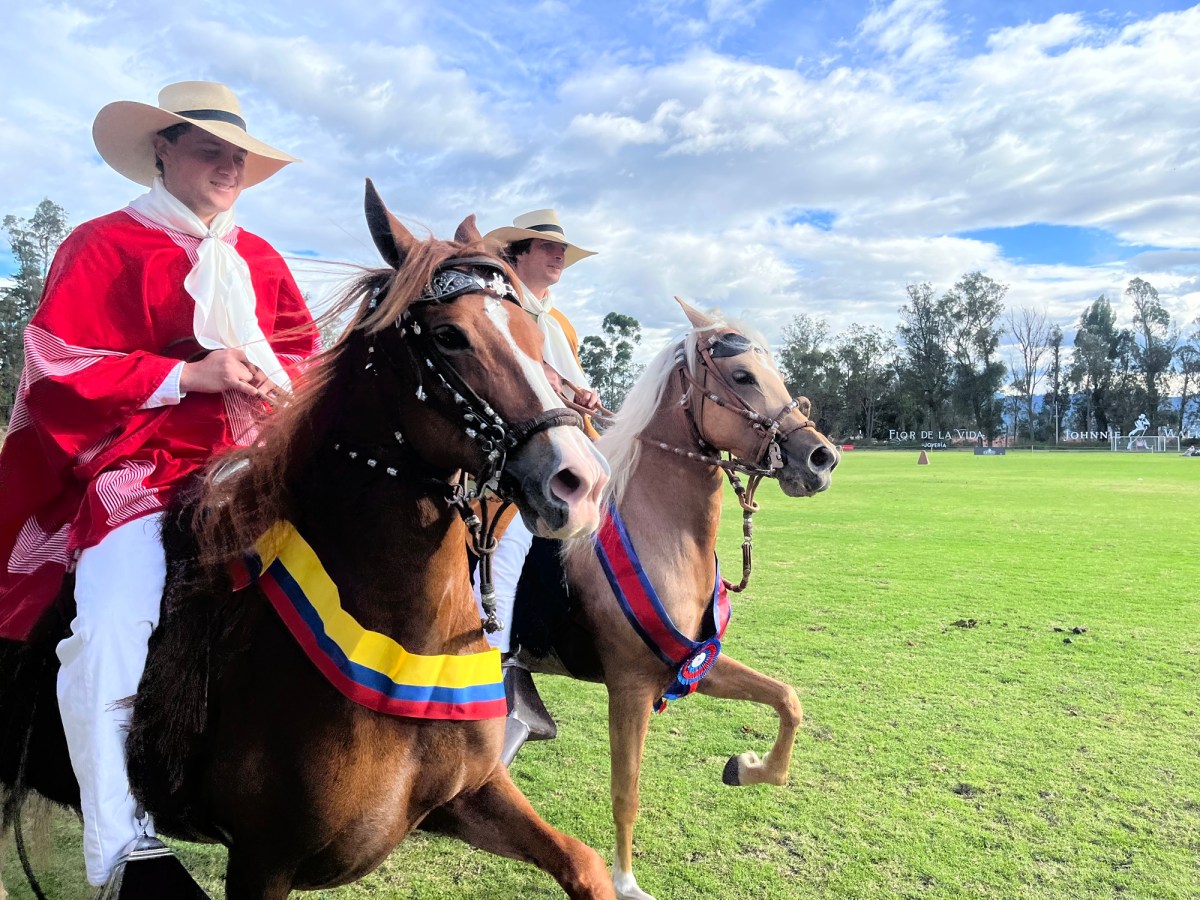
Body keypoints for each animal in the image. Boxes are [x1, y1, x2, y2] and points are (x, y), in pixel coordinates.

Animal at [0, 180, 617, 899]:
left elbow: (583, 861)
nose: (580, 480)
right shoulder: (262, 862)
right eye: (449, 335)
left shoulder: (470, 795)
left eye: (532, 332)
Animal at [511, 299, 840, 900]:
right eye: (742, 376)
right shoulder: (630, 688)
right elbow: (626, 790)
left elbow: (787, 700)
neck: (662, 534)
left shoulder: (693, 663)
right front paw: (624, 882)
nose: (822, 459)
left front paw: (749, 767)